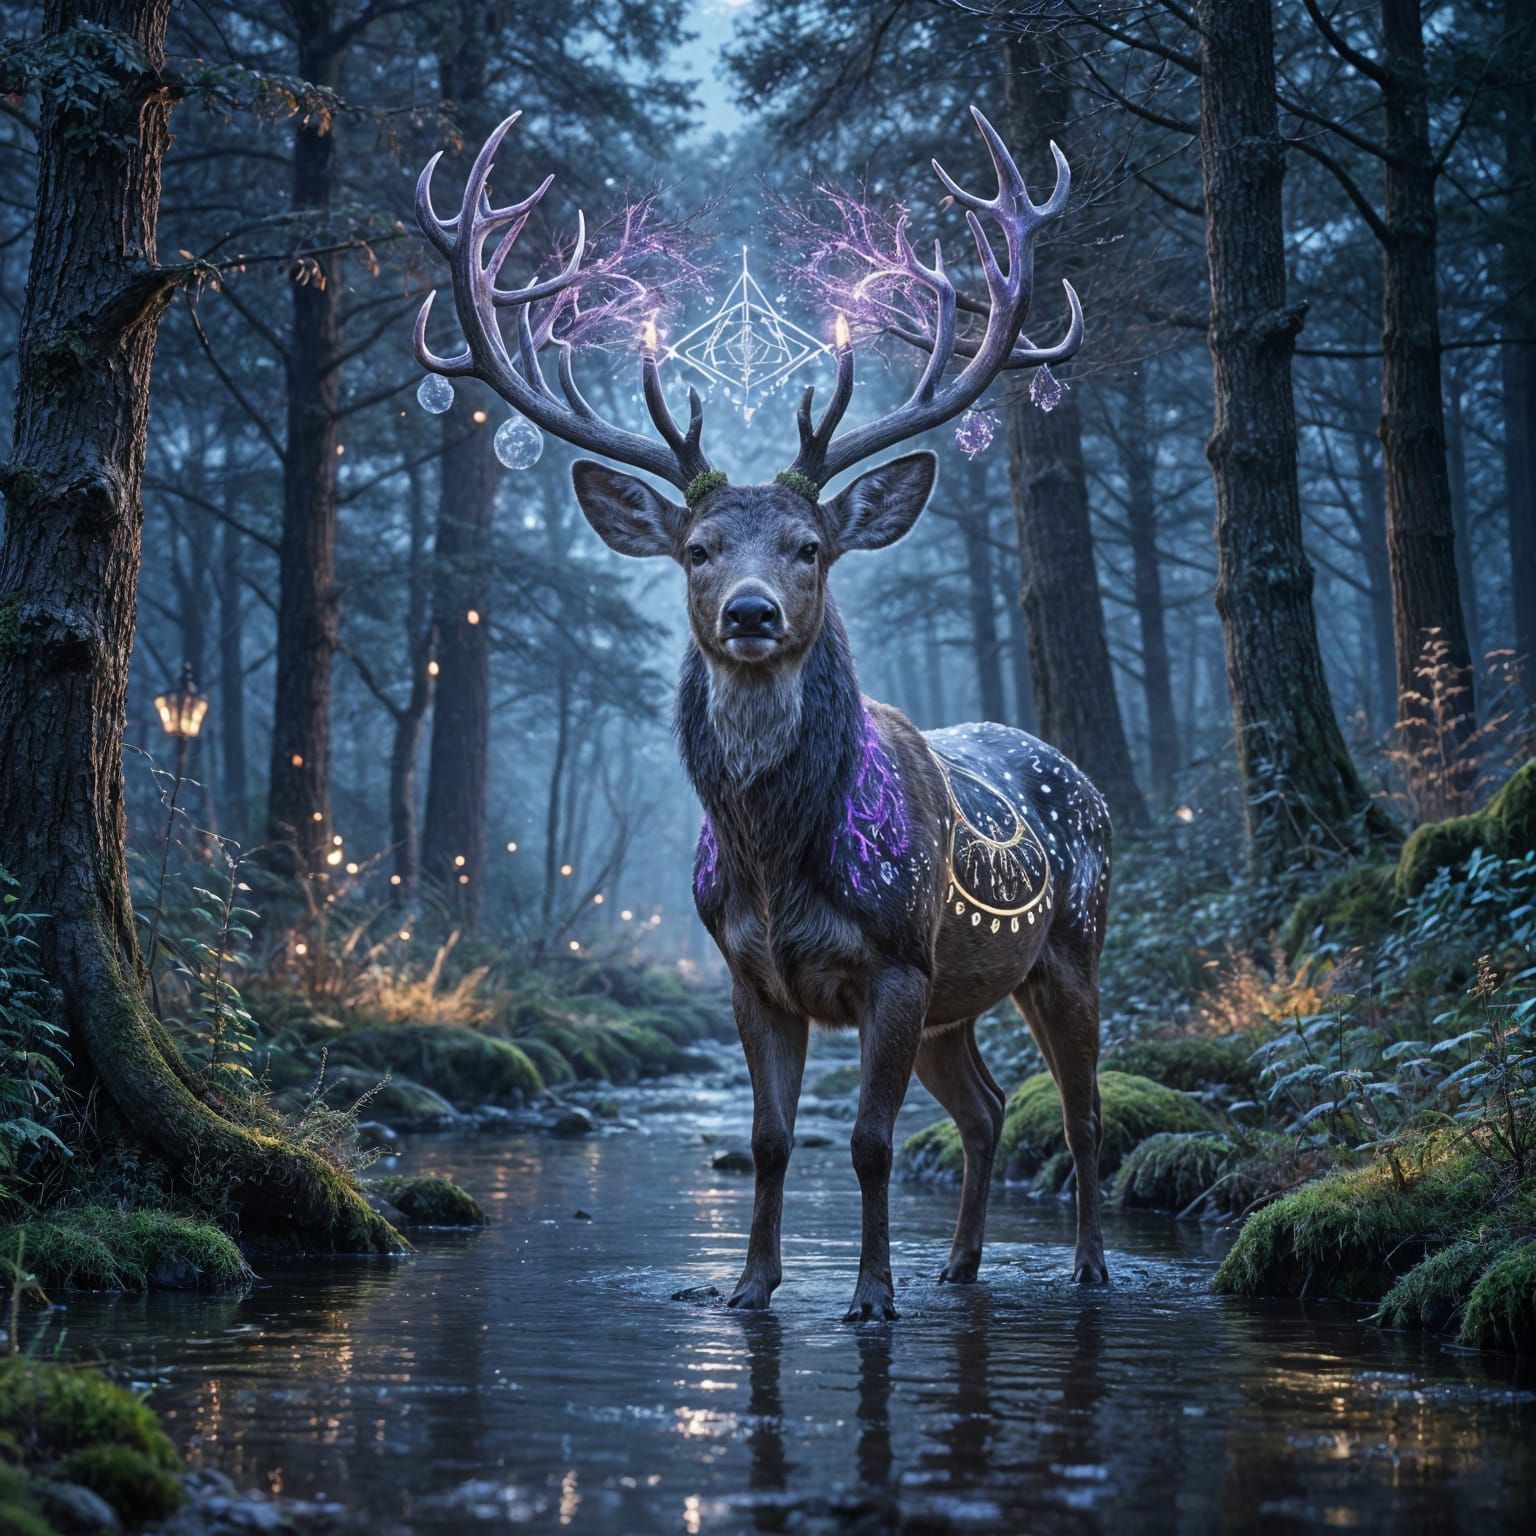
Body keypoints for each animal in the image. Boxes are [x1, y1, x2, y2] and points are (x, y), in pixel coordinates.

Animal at [414, 107, 1112, 1321]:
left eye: (809, 548)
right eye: (697, 549)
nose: (750, 612)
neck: (775, 860)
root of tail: (1080, 775)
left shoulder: (896, 960)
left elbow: (870, 1143)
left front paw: (869, 1296)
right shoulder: (748, 972)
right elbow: (775, 1139)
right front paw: (748, 1287)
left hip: (1071, 943)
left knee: (1080, 1115)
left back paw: (1086, 1269)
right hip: (963, 994)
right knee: (985, 1108)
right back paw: (960, 1264)